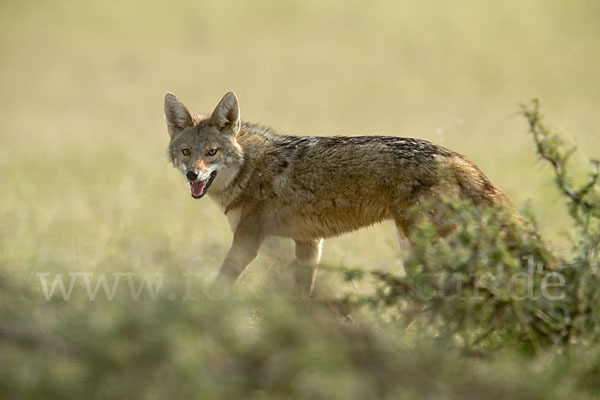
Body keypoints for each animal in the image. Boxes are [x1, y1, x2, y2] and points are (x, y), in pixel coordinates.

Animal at [164, 92, 510, 296]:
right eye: (186, 152)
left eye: (211, 152)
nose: (193, 175)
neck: (250, 167)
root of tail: (453, 156)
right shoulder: (307, 243)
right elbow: (301, 296)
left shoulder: (248, 243)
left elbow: (219, 286)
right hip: (413, 249)